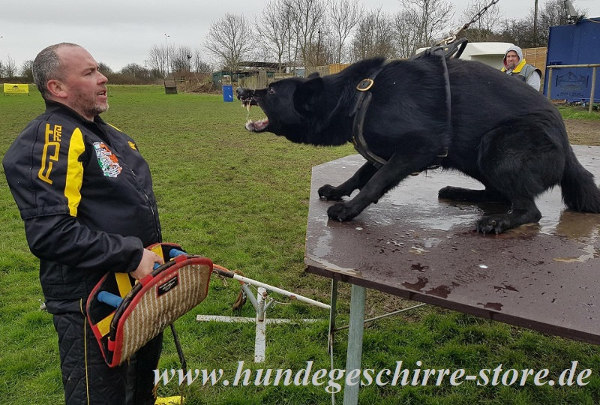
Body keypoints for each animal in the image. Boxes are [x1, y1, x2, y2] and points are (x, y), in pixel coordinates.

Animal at [237, 55, 600, 232]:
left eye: (272, 91)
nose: (240, 90)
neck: (359, 95)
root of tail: (568, 150)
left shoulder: (416, 148)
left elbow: (376, 182)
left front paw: (349, 209)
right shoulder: (383, 151)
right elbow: (359, 174)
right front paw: (339, 190)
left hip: (497, 146)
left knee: (529, 210)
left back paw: (499, 221)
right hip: (475, 157)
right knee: (498, 194)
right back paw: (459, 192)